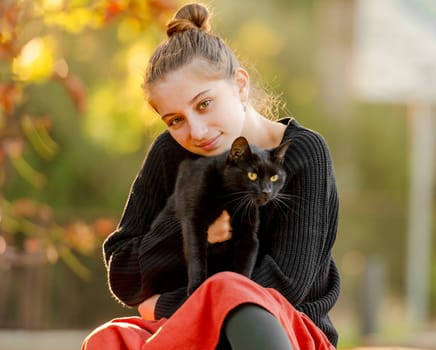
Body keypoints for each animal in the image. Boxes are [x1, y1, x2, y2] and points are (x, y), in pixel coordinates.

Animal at [173, 137, 290, 296]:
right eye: (252, 176)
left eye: (274, 177)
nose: (266, 192)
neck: (231, 198)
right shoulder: (193, 220)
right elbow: (196, 252)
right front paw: (196, 287)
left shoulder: (248, 234)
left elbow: (244, 265)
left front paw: (242, 288)